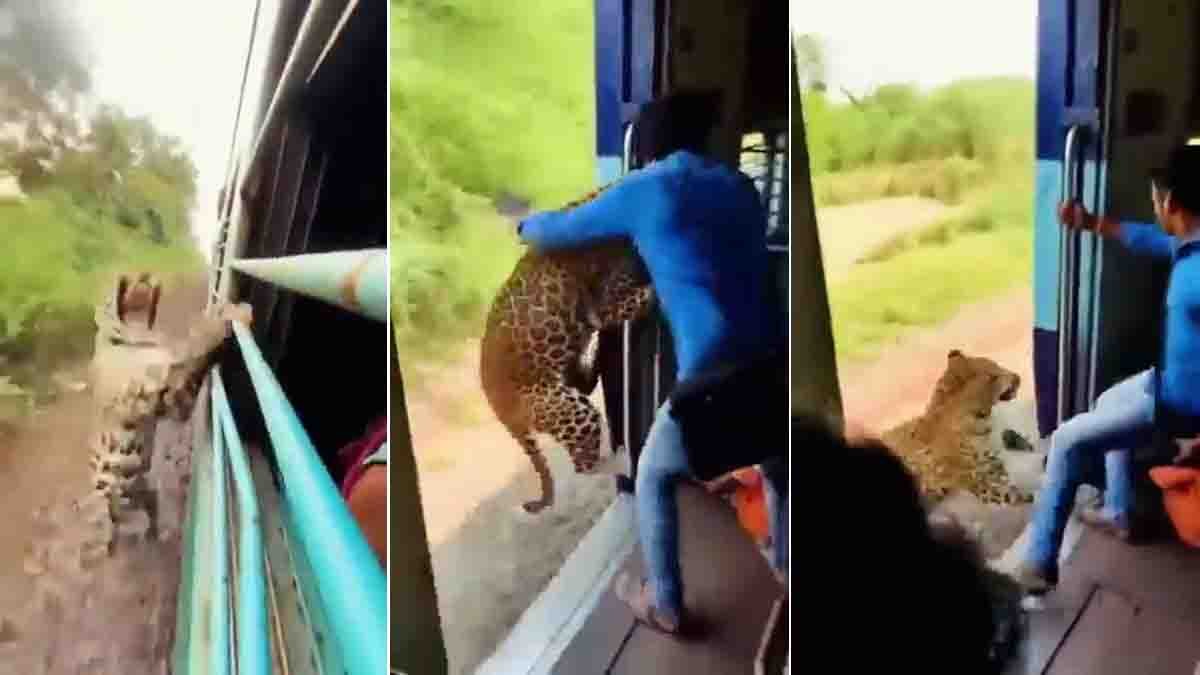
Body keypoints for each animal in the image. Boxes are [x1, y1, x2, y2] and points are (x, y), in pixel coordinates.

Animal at [90, 272, 252, 554]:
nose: (143, 273)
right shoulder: (145, 389)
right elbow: (193, 342)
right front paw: (228, 315)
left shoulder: (176, 400)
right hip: (114, 492)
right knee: (113, 517)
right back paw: (111, 541)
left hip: (141, 490)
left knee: (146, 507)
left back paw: (152, 533)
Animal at [480, 185, 655, 514]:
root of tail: (499, 409)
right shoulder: (606, 305)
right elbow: (642, 295)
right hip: (569, 410)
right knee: (583, 466)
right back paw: (623, 460)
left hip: (568, 387)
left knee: (584, 383)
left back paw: (595, 356)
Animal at [880, 349, 1032, 509]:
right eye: (993, 376)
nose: (1018, 377)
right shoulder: (978, 483)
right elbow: (1006, 494)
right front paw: (1024, 496)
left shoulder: (992, 463)